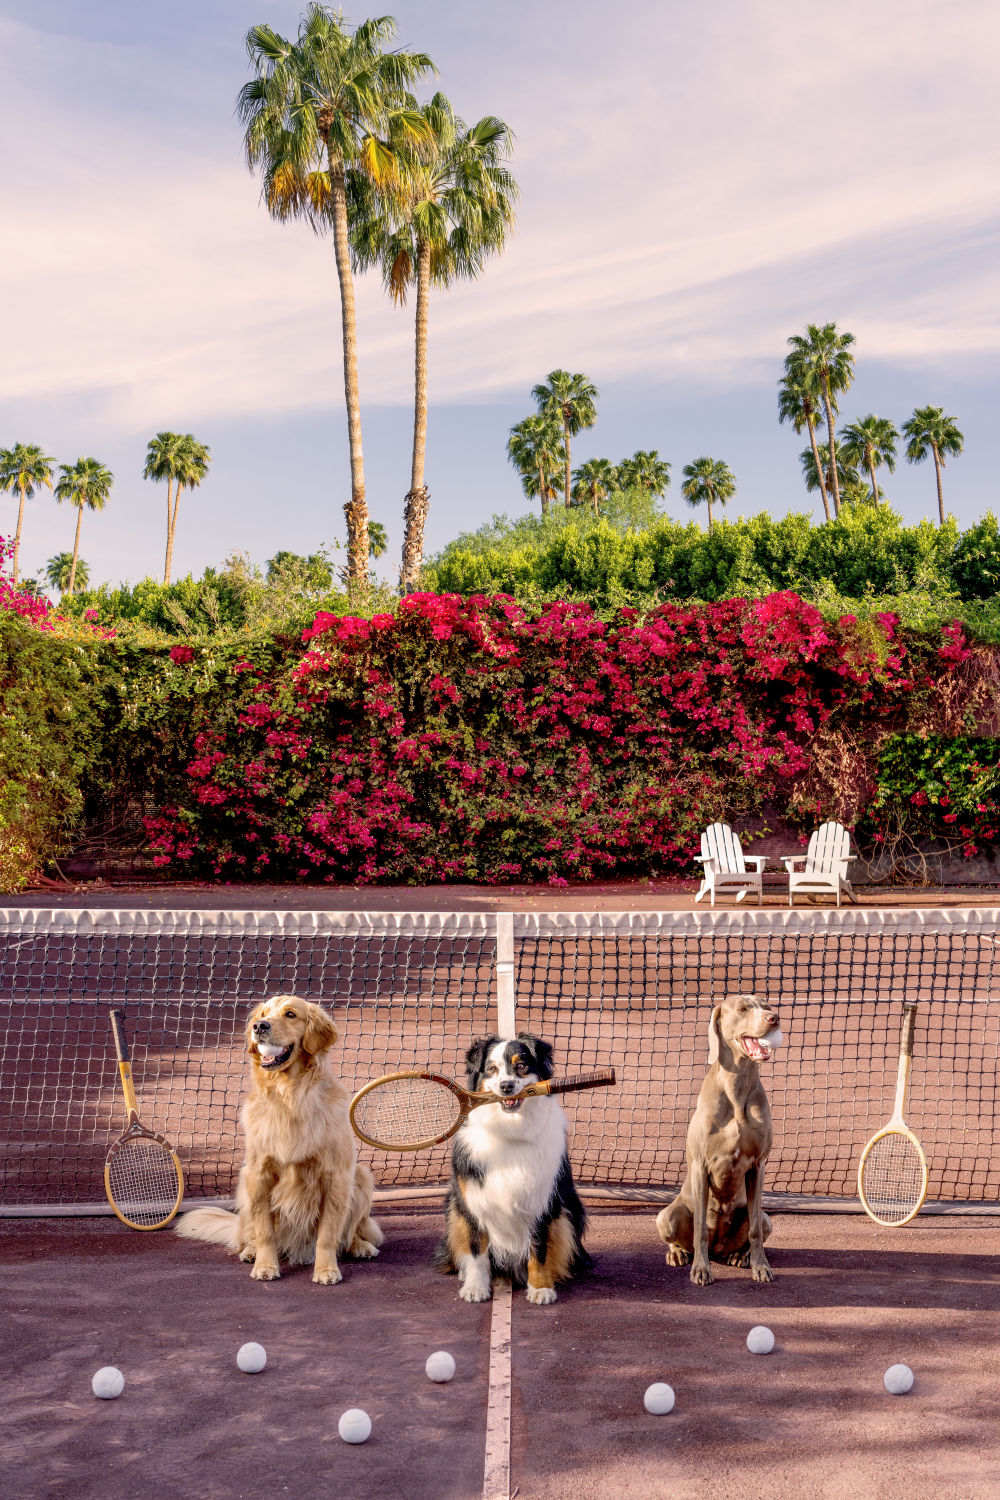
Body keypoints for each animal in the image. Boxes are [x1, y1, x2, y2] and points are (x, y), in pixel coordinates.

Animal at [434, 1032, 590, 1302]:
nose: (506, 1086)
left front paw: (540, 1288)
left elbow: (539, 1249)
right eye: (492, 1070)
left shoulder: (542, 1200)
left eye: (522, 1066)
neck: (510, 1129)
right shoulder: (473, 1200)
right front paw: (476, 1287)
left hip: (571, 1207)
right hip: (453, 1206)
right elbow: (476, 1250)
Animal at [653, 990, 785, 1284]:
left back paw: (740, 1256)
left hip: (766, 1218)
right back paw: (678, 1254)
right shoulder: (701, 1166)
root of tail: (718, 1249)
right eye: (744, 1008)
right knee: (682, 1236)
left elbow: (755, 1230)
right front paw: (701, 1270)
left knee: (757, 1225)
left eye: (767, 1005)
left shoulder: (758, 1165)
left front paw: (761, 1266)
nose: (774, 1018)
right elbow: (700, 1229)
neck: (736, 1090)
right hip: (667, 1215)